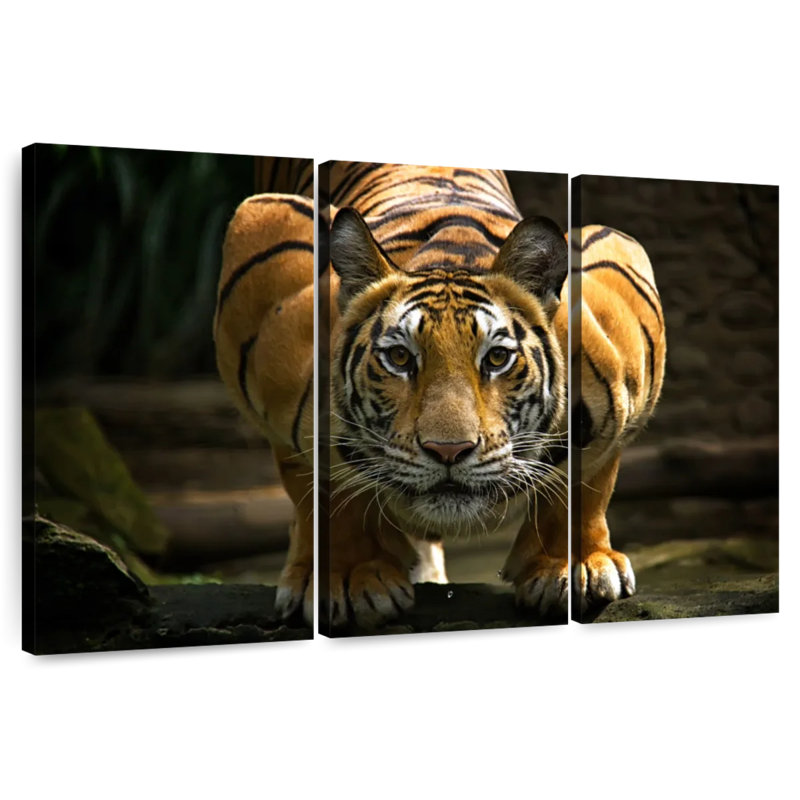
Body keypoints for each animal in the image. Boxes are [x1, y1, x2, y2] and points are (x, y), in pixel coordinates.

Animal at [323, 162, 665, 630]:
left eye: (497, 358)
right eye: (399, 357)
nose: (448, 451)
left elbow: (588, 481)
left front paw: (575, 565)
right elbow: (337, 491)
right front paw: (352, 577)